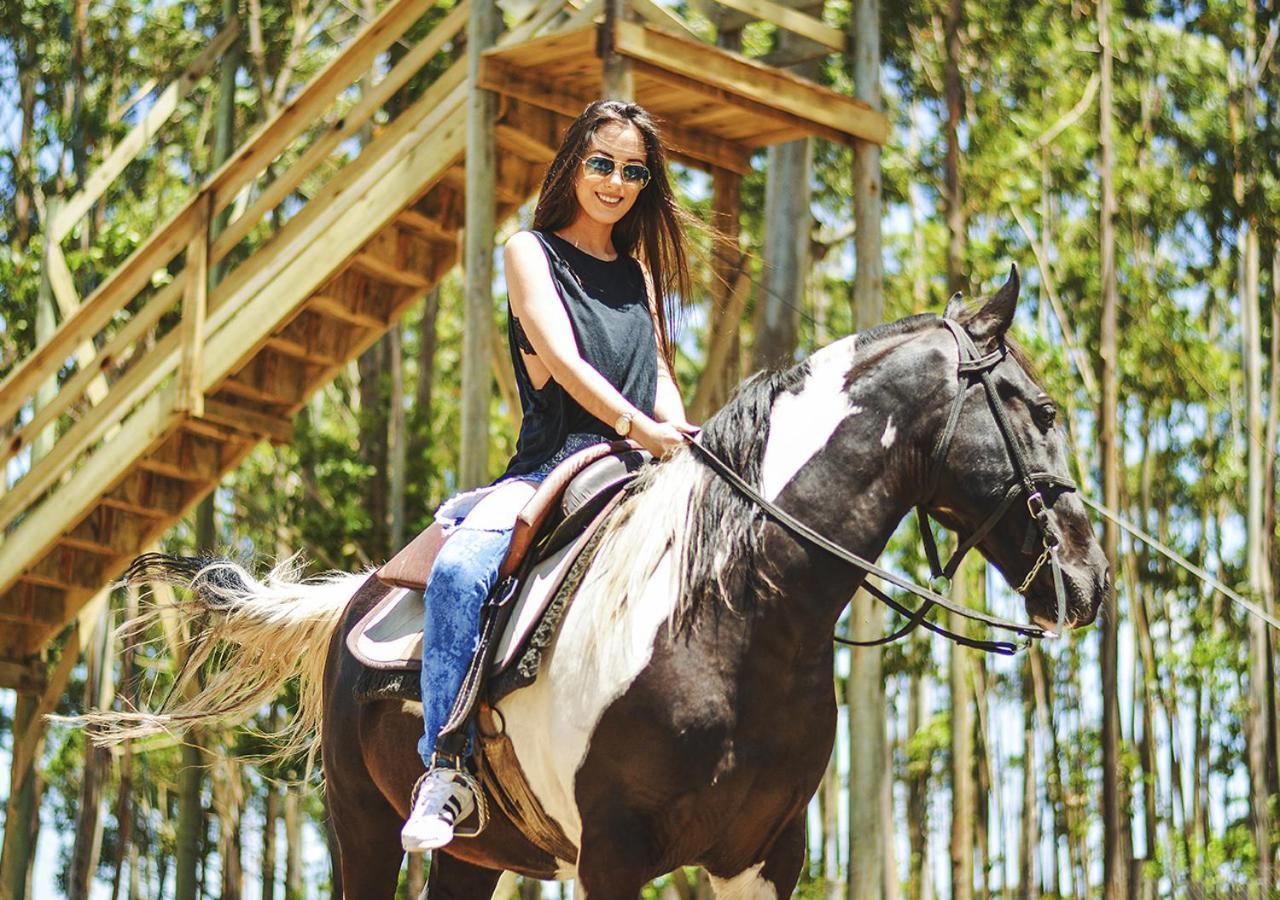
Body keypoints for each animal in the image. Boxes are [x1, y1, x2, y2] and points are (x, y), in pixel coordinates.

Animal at [92, 268, 1111, 900]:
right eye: (1042, 409)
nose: (1090, 578)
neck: (734, 617)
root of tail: (356, 597)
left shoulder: (765, 857)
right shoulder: (613, 856)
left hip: (473, 855)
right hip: (362, 822)